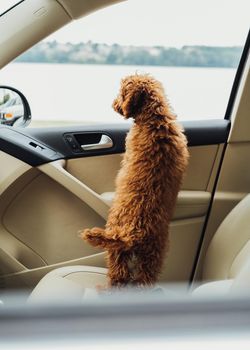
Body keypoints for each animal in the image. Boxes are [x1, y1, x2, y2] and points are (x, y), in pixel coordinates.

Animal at [81, 73, 188, 288]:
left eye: (121, 93)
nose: (113, 104)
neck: (156, 118)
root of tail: (133, 232)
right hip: (153, 254)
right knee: (144, 279)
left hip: (117, 249)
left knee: (119, 276)